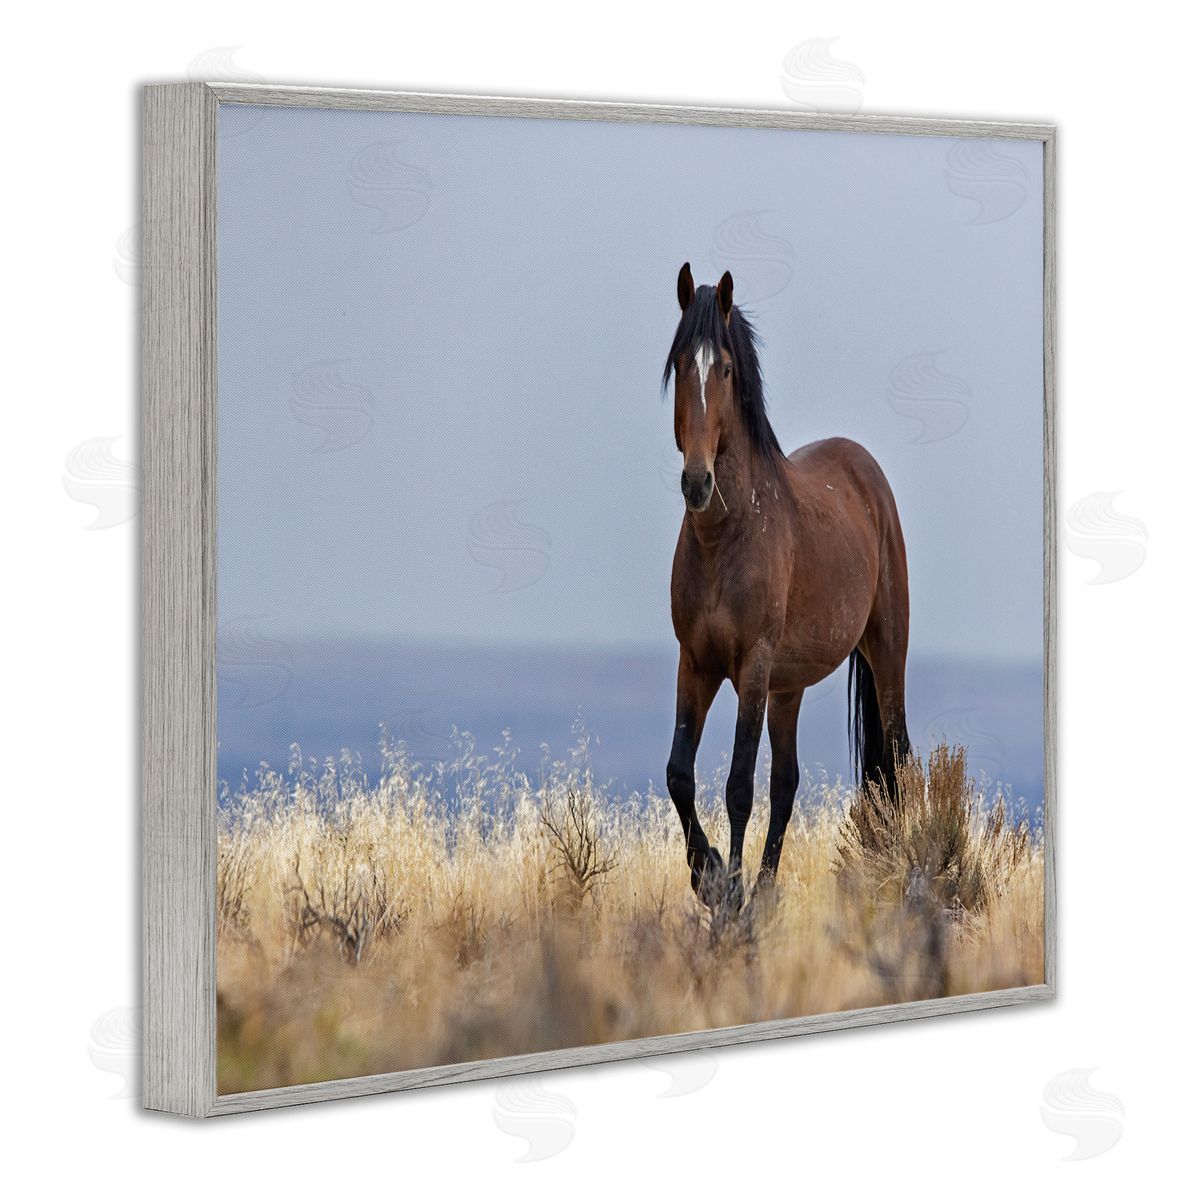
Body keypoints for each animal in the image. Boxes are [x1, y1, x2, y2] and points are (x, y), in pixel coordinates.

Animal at [663, 263, 912, 912]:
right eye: (681, 363)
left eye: (725, 368)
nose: (697, 482)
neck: (727, 538)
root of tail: (866, 472)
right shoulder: (694, 663)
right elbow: (679, 773)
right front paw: (709, 874)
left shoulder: (751, 666)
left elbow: (737, 786)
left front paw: (729, 891)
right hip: (788, 686)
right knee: (787, 781)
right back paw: (769, 890)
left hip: (884, 654)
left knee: (898, 757)